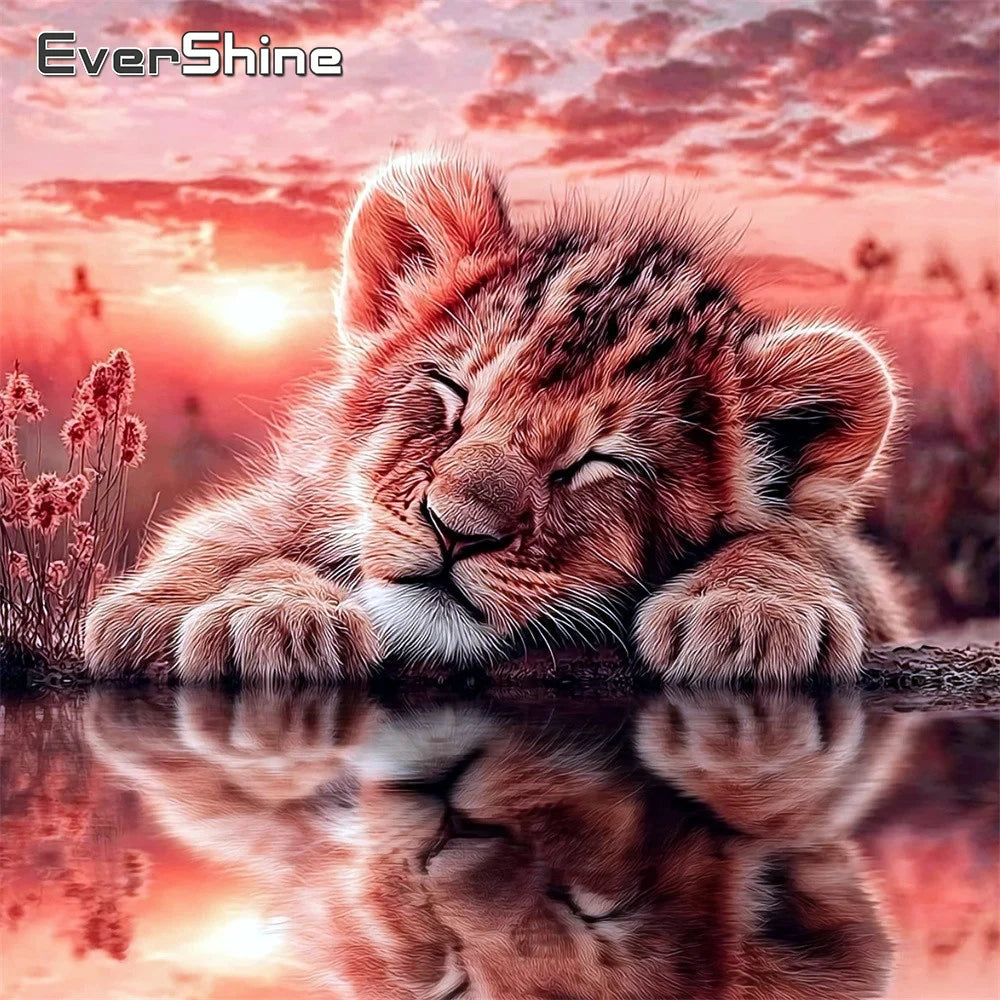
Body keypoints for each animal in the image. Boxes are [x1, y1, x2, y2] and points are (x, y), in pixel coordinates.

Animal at [84, 151, 909, 684]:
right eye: (453, 395)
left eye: (598, 461)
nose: (456, 532)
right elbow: (233, 537)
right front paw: (263, 617)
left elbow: (802, 542)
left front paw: (749, 612)